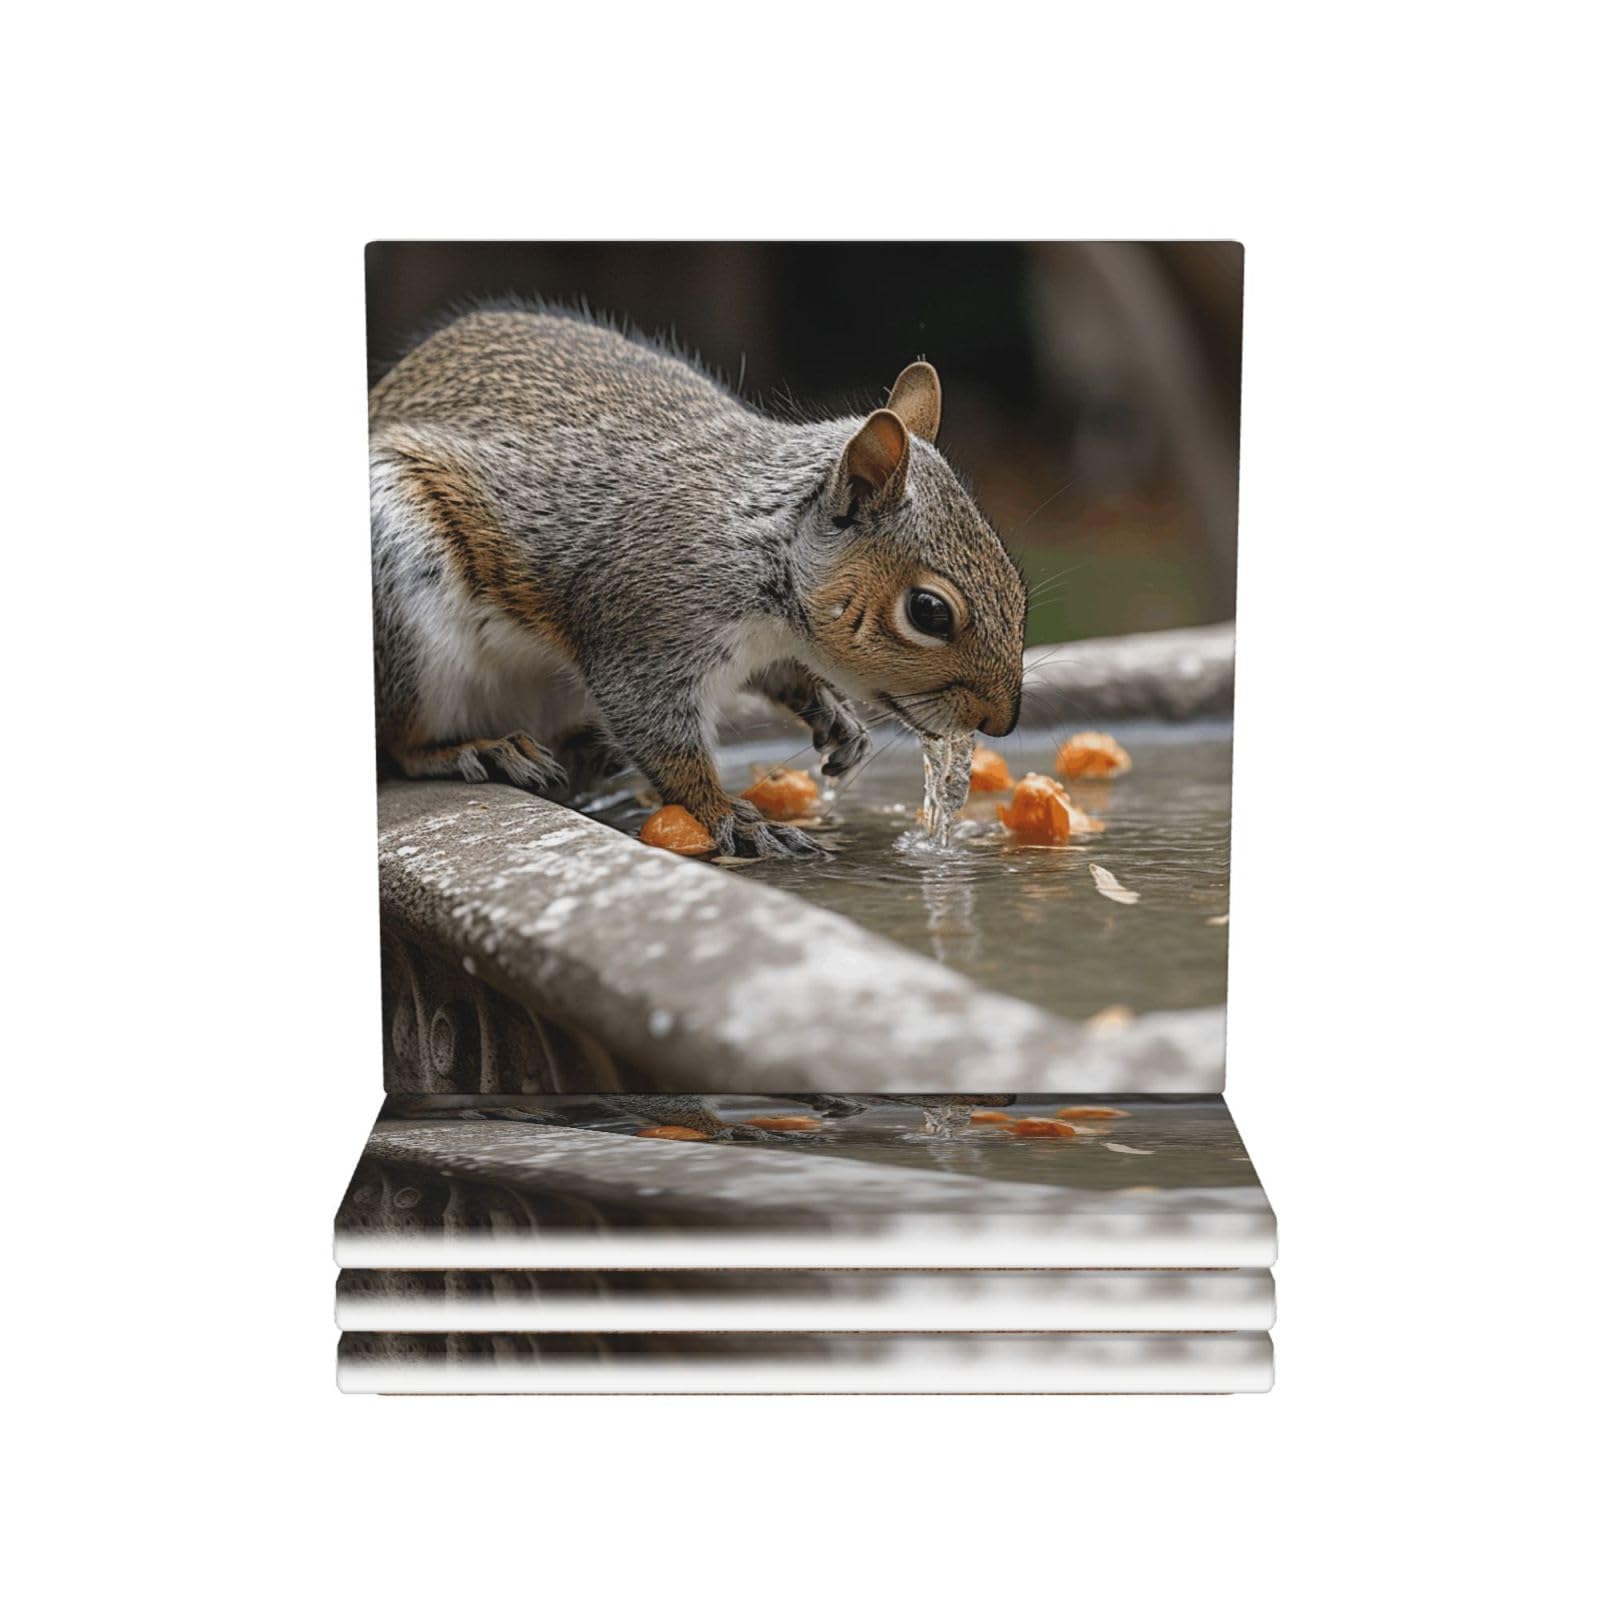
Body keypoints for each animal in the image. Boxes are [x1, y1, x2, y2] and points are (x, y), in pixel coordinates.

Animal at [370, 306, 1028, 858]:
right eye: (928, 612)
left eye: (1018, 585)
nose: (1000, 723)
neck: (762, 549)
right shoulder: (643, 631)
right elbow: (662, 738)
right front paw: (727, 815)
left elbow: (783, 678)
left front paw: (833, 717)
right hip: (398, 600)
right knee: (402, 744)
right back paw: (473, 749)